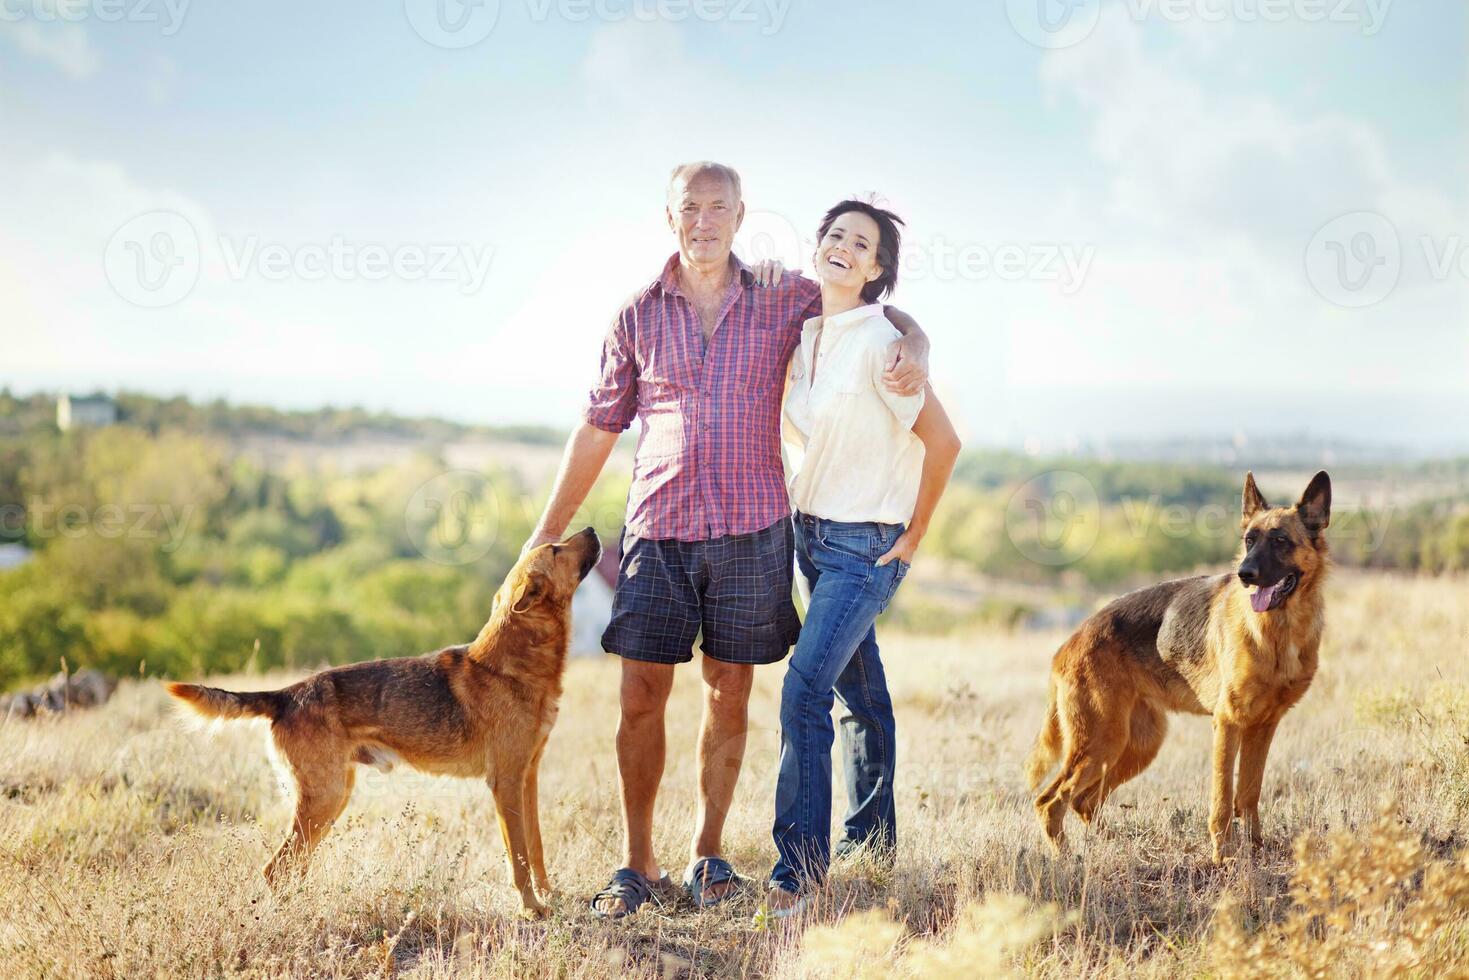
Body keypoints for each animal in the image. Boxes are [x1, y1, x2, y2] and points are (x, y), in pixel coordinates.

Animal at [160, 525, 596, 916]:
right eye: (556, 549)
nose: (592, 529)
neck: (512, 664)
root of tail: (286, 695)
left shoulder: (526, 778)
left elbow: (535, 848)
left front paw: (548, 897)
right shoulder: (505, 783)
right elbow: (518, 858)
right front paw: (531, 909)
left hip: (330, 800)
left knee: (293, 867)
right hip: (324, 799)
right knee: (275, 869)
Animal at [1022, 470, 1333, 863]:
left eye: (1280, 540)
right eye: (1249, 541)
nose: (1244, 573)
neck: (1278, 631)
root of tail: (1068, 644)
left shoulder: (1263, 727)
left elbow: (1249, 795)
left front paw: (1256, 851)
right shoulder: (1229, 724)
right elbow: (1222, 800)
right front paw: (1222, 858)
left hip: (1135, 746)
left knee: (1083, 800)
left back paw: (1114, 846)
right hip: (1101, 743)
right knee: (1051, 802)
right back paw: (1067, 859)